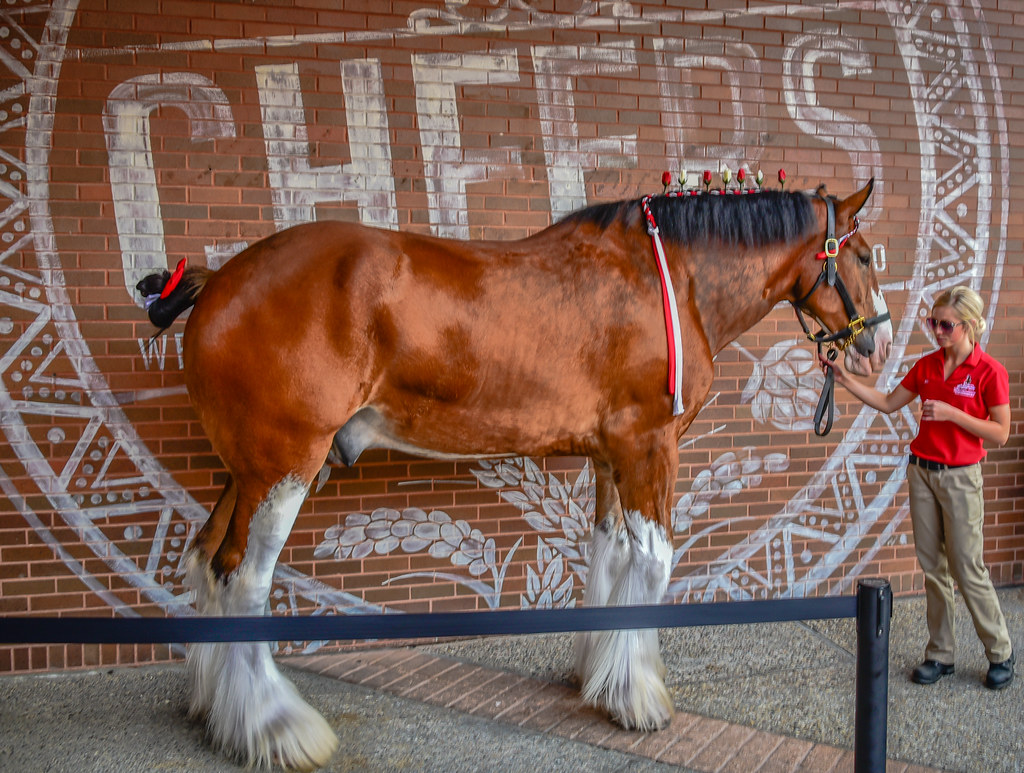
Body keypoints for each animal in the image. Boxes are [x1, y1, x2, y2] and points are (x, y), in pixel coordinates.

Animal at [139, 179, 893, 771]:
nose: (881, 340)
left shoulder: (608, 456)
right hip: (285, 465)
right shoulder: (647, 447)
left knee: (206, 562)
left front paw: (600, 679)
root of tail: (219, 279)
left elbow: (608, 556)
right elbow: (652, 562)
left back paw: (214, 711)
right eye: (861, 254)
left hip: (245, 470)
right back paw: (276, 727)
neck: (670, 278)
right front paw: (639, 698)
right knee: (245, 580)